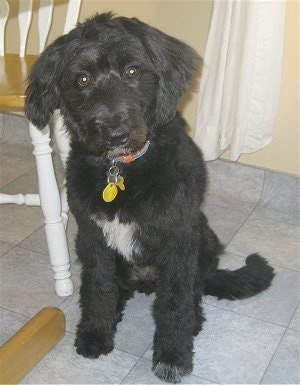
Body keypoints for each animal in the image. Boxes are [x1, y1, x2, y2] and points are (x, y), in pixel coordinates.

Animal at [25, 13, 274, 382]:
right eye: (82, 79)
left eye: (132, 71)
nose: (116, 135)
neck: (121, 170)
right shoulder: (92, 237)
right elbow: (97, 286)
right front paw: (95, 334)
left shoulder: (178, 239)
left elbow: (175, 302)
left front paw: (172, 356)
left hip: (203, 237)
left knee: (193, 293)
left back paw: (193, 321)